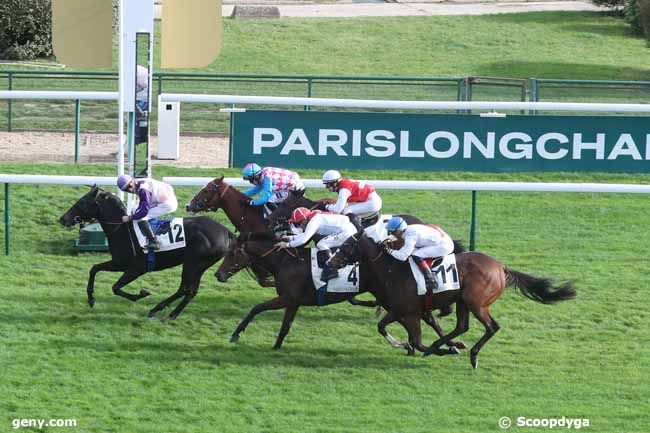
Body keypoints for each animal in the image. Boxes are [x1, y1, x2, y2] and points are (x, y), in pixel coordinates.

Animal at [59, 184, 234, 318]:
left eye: (81, 202)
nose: (63, 219)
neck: (122, 230)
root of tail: (225, 231)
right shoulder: (118, 263)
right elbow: (94, 269)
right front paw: (90, 298)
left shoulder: (136, 269)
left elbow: (115, 288)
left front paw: (141, 294)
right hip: (199, 266)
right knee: (189, 291)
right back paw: (168, 313)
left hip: (193, 263)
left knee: (186, 289)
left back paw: (159, 310)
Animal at [216, 233, 466, 352]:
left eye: (231, 253)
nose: (218, 274)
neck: (285, 263)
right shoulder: (293, 302)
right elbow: (285, 327)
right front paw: (276, 347)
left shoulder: (287, 298)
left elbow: (256, 308)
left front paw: (236, 333)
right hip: (389, 299)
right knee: (420, 318)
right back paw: (439, 344)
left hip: (390, 299)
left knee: (424, 318)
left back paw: (443, 344)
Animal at [326, 231, 576, 366]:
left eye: (347, 245)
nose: (329, 262)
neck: (391, 270)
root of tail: (500, 267)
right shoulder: (404, 311)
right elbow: (394, 330)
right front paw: (423, 347)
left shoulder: (407, 311)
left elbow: (408, 337)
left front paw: (415, 346)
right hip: (462, 301)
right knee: (462, 326)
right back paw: (448, 346)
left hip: (476, 302)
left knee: (492, 327)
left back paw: (471, 355)